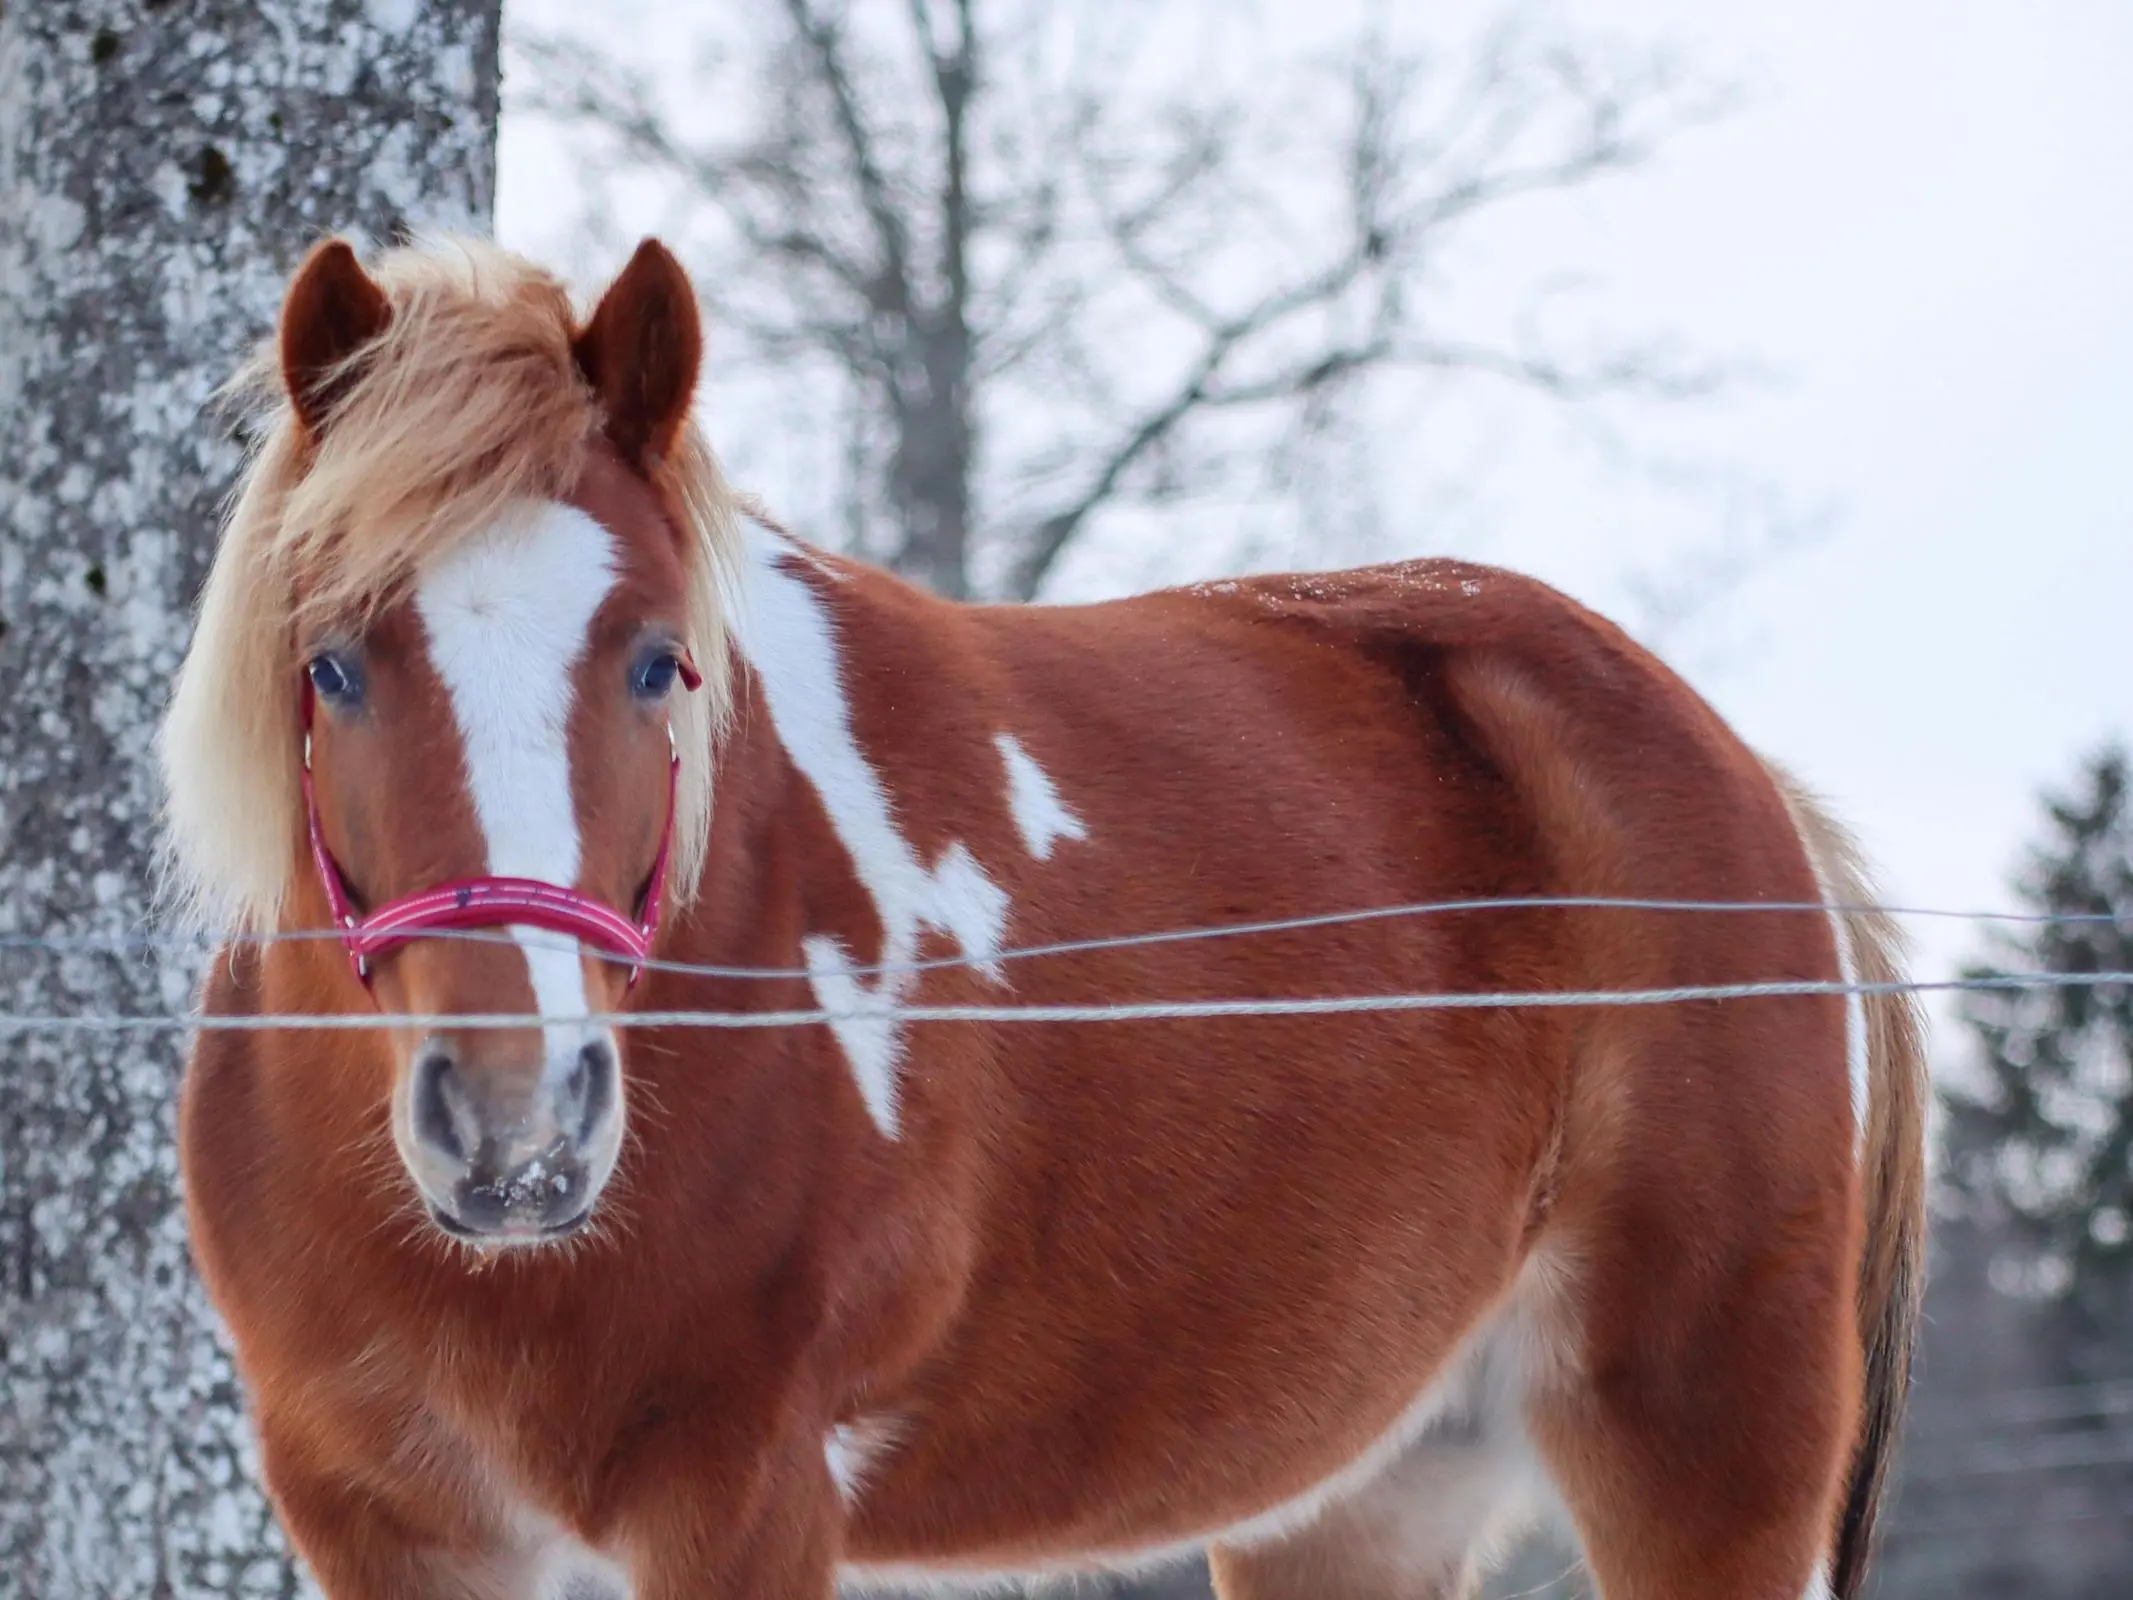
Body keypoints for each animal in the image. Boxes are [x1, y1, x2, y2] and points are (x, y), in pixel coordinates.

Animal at [162, 237, 1936, 1600]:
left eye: (661, 661)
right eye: (332, 663)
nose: (517, 1128)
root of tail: (1746, 782)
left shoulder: (740, 1501)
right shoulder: (389, 1524)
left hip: (1702, 1449)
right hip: (1367, 1498)